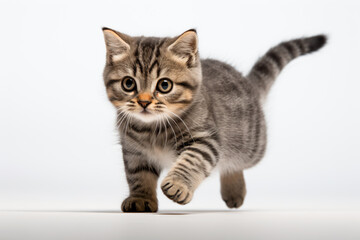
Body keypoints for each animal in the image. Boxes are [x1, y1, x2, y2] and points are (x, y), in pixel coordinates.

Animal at [101, 27, 326, 213]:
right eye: (128, 83)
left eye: (164, 85)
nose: (144, 102)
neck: (152, 129)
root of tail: (248, 84)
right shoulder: (134, 151)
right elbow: (138, 176)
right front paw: (141, 198)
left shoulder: (205, 139)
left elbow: (192, 161)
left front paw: (178, 184)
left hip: (250, 147)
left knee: (234, 162)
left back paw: (234, 190)